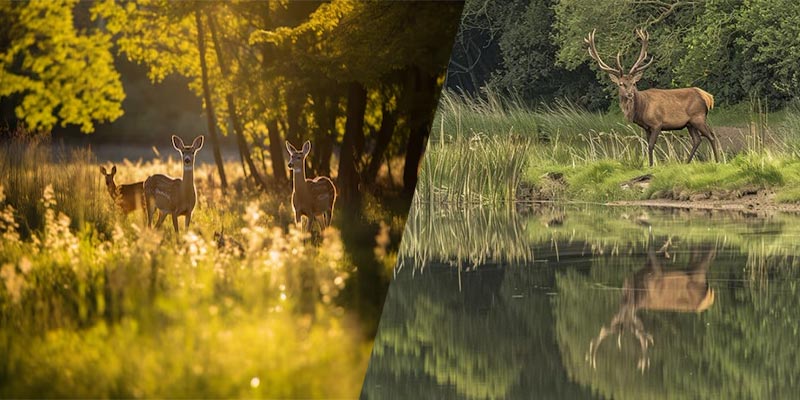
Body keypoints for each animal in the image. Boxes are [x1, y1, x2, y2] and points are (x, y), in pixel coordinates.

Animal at [584, 28, 720, 166]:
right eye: (621, 84)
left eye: (634, 83)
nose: (630, 94)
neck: (641, 109)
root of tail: (707, 97)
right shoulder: (646, 127)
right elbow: (646, 145)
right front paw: (651, 164)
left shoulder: (657, 123)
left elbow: (650, 145)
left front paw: (651, 165)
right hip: (690, 123)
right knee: (697, 140)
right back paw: (687, 162)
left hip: (698, 117)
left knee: (711, 135)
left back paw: (717, 161)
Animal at [584, 242, 716, 374]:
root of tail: (710, 298)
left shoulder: (656, 272)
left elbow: (650, 250)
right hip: (692, 269)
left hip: (697, 276)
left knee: (707, 256)